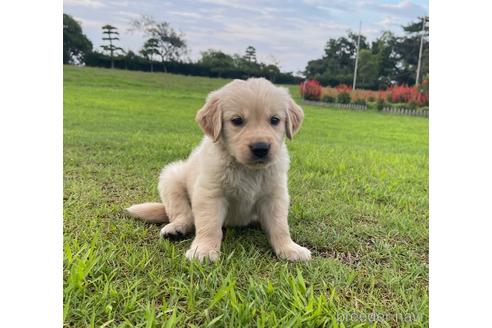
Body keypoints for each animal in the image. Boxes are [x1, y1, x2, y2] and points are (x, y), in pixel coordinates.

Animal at [127, 78, 312, 262]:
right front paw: (204, 250)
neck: (246, 168)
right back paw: (176, 228)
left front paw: (289, 248)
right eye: (237, 120)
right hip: (171, 178)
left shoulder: (275, 195)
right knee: (184, 214)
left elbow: (280, 225)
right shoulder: (210, 193)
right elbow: (209, 225)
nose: (261, 148)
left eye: (274, 120)